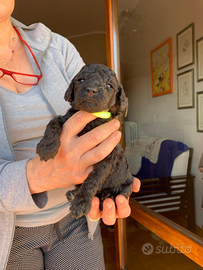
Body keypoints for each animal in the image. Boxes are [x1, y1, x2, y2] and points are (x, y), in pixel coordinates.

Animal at [36, 63, 133, 219]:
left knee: (120, 193)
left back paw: (107, 197)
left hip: (127, 184)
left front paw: (81, 203)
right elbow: (53, 122)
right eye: (80, 80)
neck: (91, 119)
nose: (91, 90)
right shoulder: (66, 118)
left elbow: (93, 178)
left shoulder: (107, 157)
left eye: (109, 86)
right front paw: (47, 147)